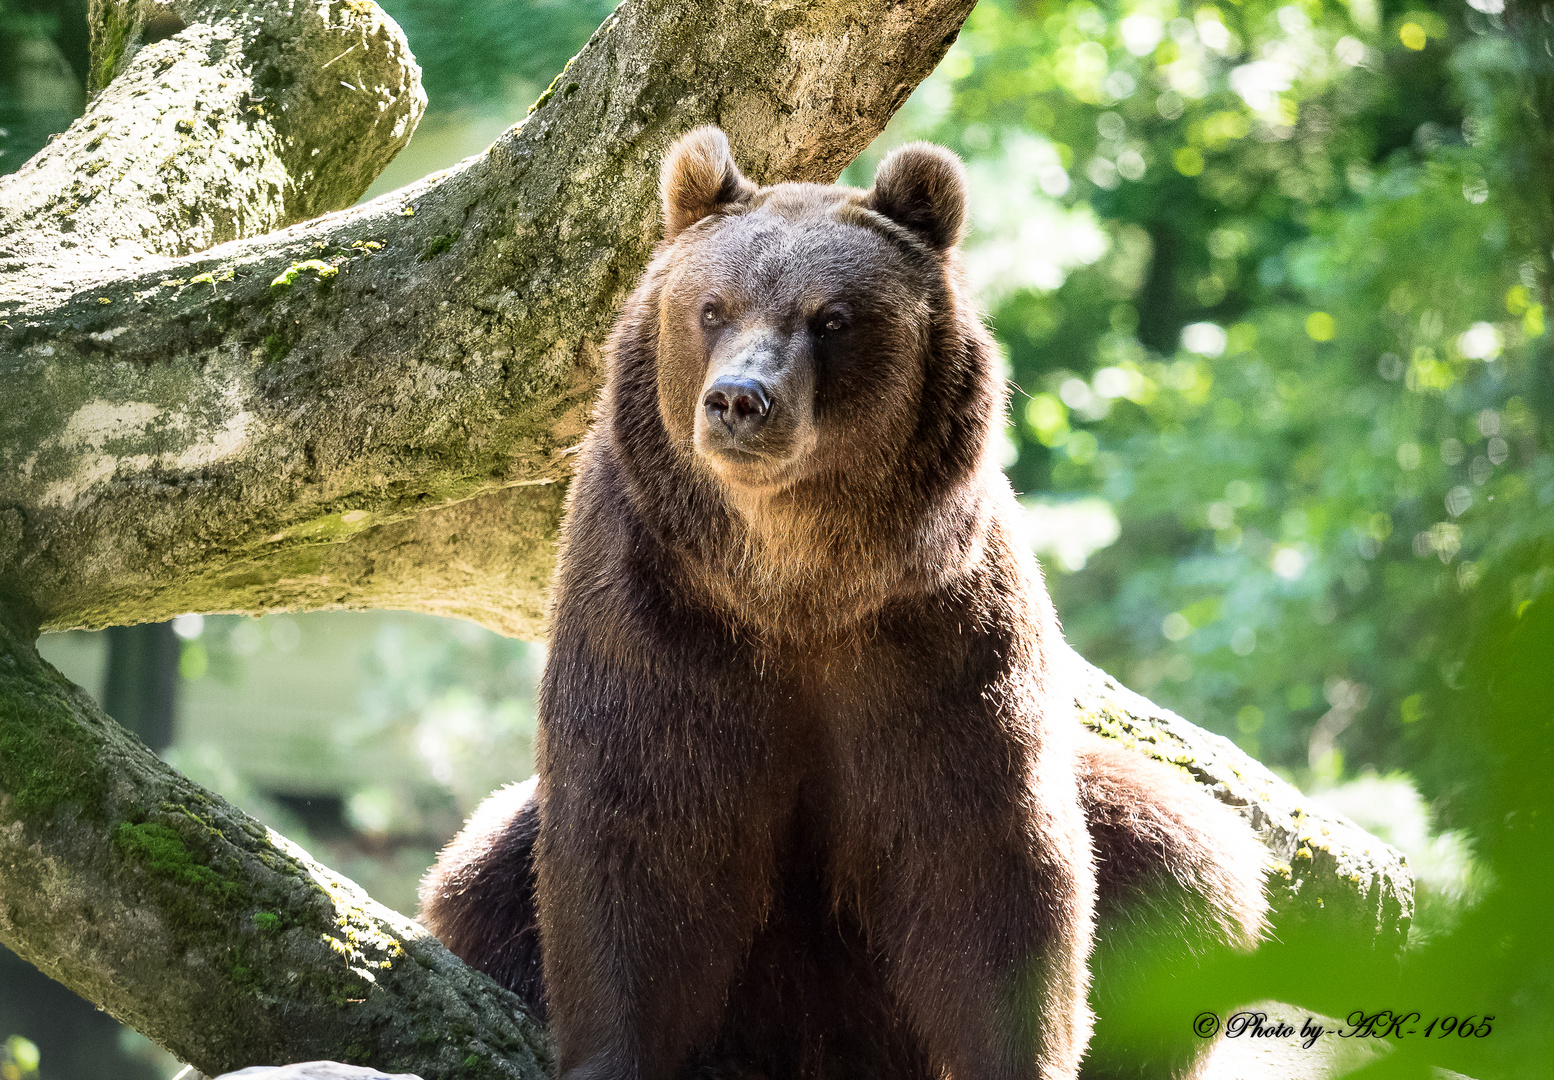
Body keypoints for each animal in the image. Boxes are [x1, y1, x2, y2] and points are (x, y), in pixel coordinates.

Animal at [419, 128, 1268, 1080]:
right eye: (712, 307)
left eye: (831, 318)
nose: (739, 400)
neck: (798, 583)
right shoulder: (659, 615)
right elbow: (638, 832)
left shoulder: (932, 634)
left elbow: (983, 856)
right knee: (480, 874)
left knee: (1187, 859)